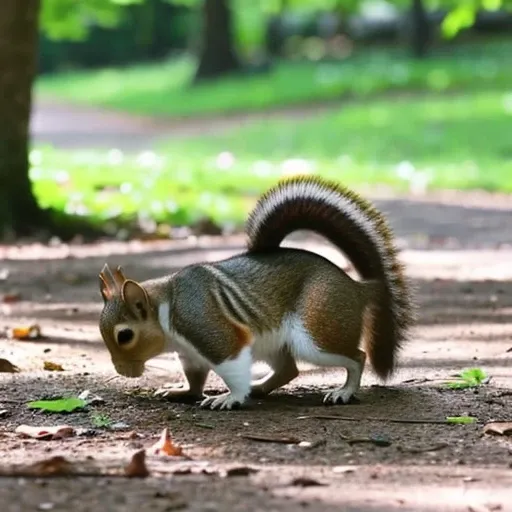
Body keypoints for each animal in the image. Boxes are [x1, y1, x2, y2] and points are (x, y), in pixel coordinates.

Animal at [98, 178, 414, 410]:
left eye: (124, 335)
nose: (122, 372)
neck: (167, 304)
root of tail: (360, 288)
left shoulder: (212, 332)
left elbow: (233, 368)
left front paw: (230, 398)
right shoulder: (191, 354)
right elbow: (195, 377)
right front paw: (182, 391)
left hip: (316, 334)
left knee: (356, 357)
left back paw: (344, 391)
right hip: (274, 344)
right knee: (289, 370)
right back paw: (260, 387)